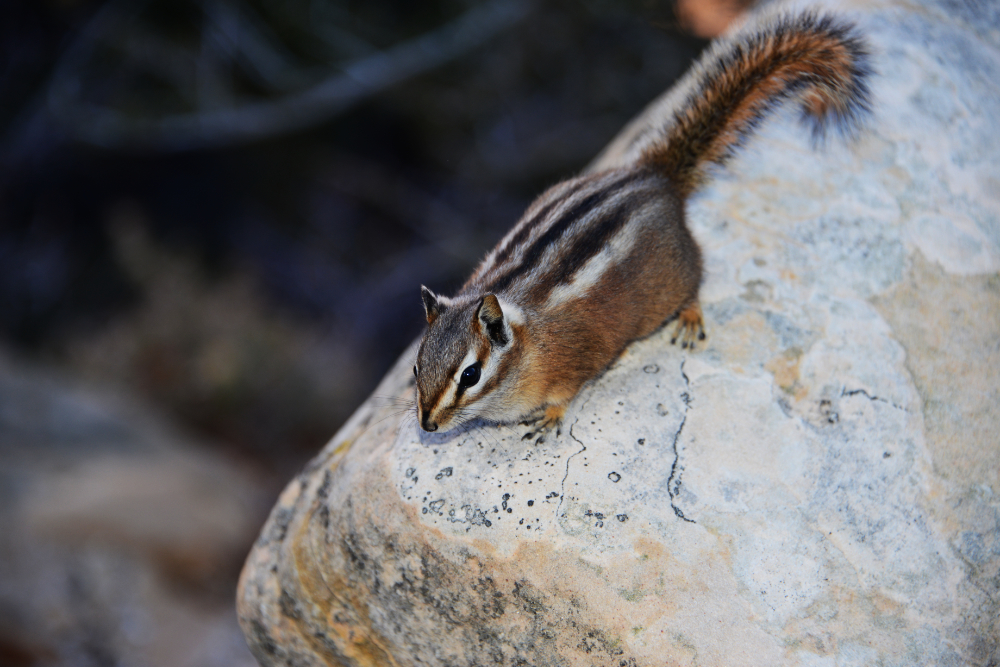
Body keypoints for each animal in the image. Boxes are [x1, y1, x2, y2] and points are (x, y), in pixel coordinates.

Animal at [413, 12, 871, 433]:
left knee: (695, 280)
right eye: (417, 366)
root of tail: (654, 175)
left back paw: (690, 319)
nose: (427, 426)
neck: (525, 339)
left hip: (672, 279)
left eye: (470, 375)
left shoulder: (575, 360)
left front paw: (551, 418)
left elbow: (565, 395)